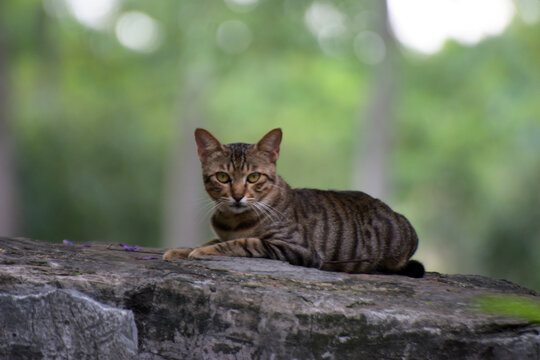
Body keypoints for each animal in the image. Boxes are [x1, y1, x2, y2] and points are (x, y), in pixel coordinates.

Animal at [162, 128, 424, 278]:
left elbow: (242, 242)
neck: (234, 220)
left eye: (253, 177)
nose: (237, 196)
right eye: (223, 177)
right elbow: (214, 239)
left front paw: (200, 251)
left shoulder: (295, 248)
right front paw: (182, 250)